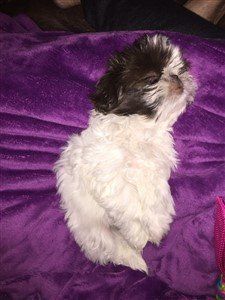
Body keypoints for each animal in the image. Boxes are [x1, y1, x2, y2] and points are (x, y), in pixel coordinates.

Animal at [55, 34, 196, 272]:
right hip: (94, 230)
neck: (141, 132)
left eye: (179, 68)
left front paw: (157, 225)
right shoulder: (108, 174)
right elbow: (129, 202)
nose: (177, 76)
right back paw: (133, 247)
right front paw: (139, 233)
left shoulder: (155, 171)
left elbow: (155, 198)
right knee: (114, 246)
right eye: (151, 79)